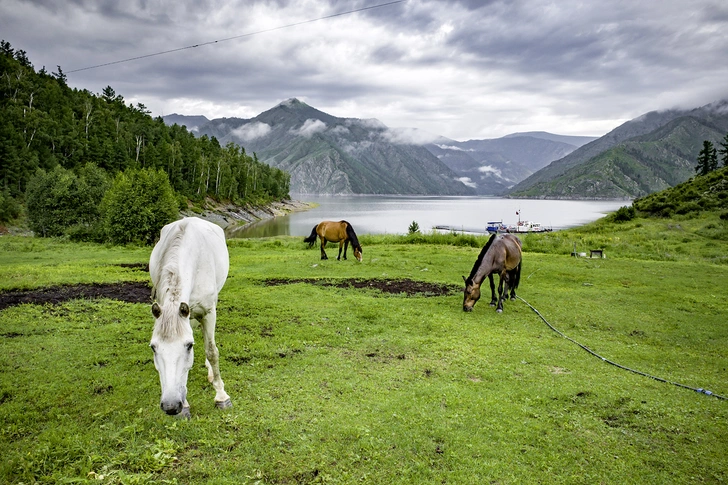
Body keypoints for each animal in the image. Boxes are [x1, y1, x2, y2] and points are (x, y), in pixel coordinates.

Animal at [146, 216, 229, 416]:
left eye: (189, 346)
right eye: (153, 347)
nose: (171, 406)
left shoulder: (209, 312)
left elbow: (212, 351)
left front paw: (221, 396)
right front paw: (185, 406)